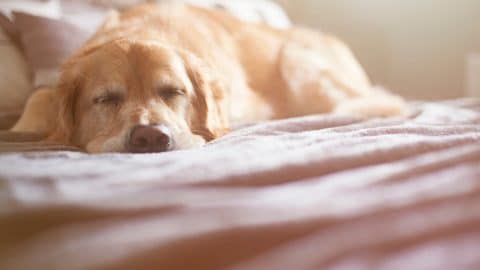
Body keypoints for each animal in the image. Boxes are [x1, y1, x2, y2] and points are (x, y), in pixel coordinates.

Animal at [12, 3, 404, 153]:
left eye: (174, 92)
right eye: (106, 99)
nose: (150, 137)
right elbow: (41, 95)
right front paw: (22, 128)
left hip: (298, 66)